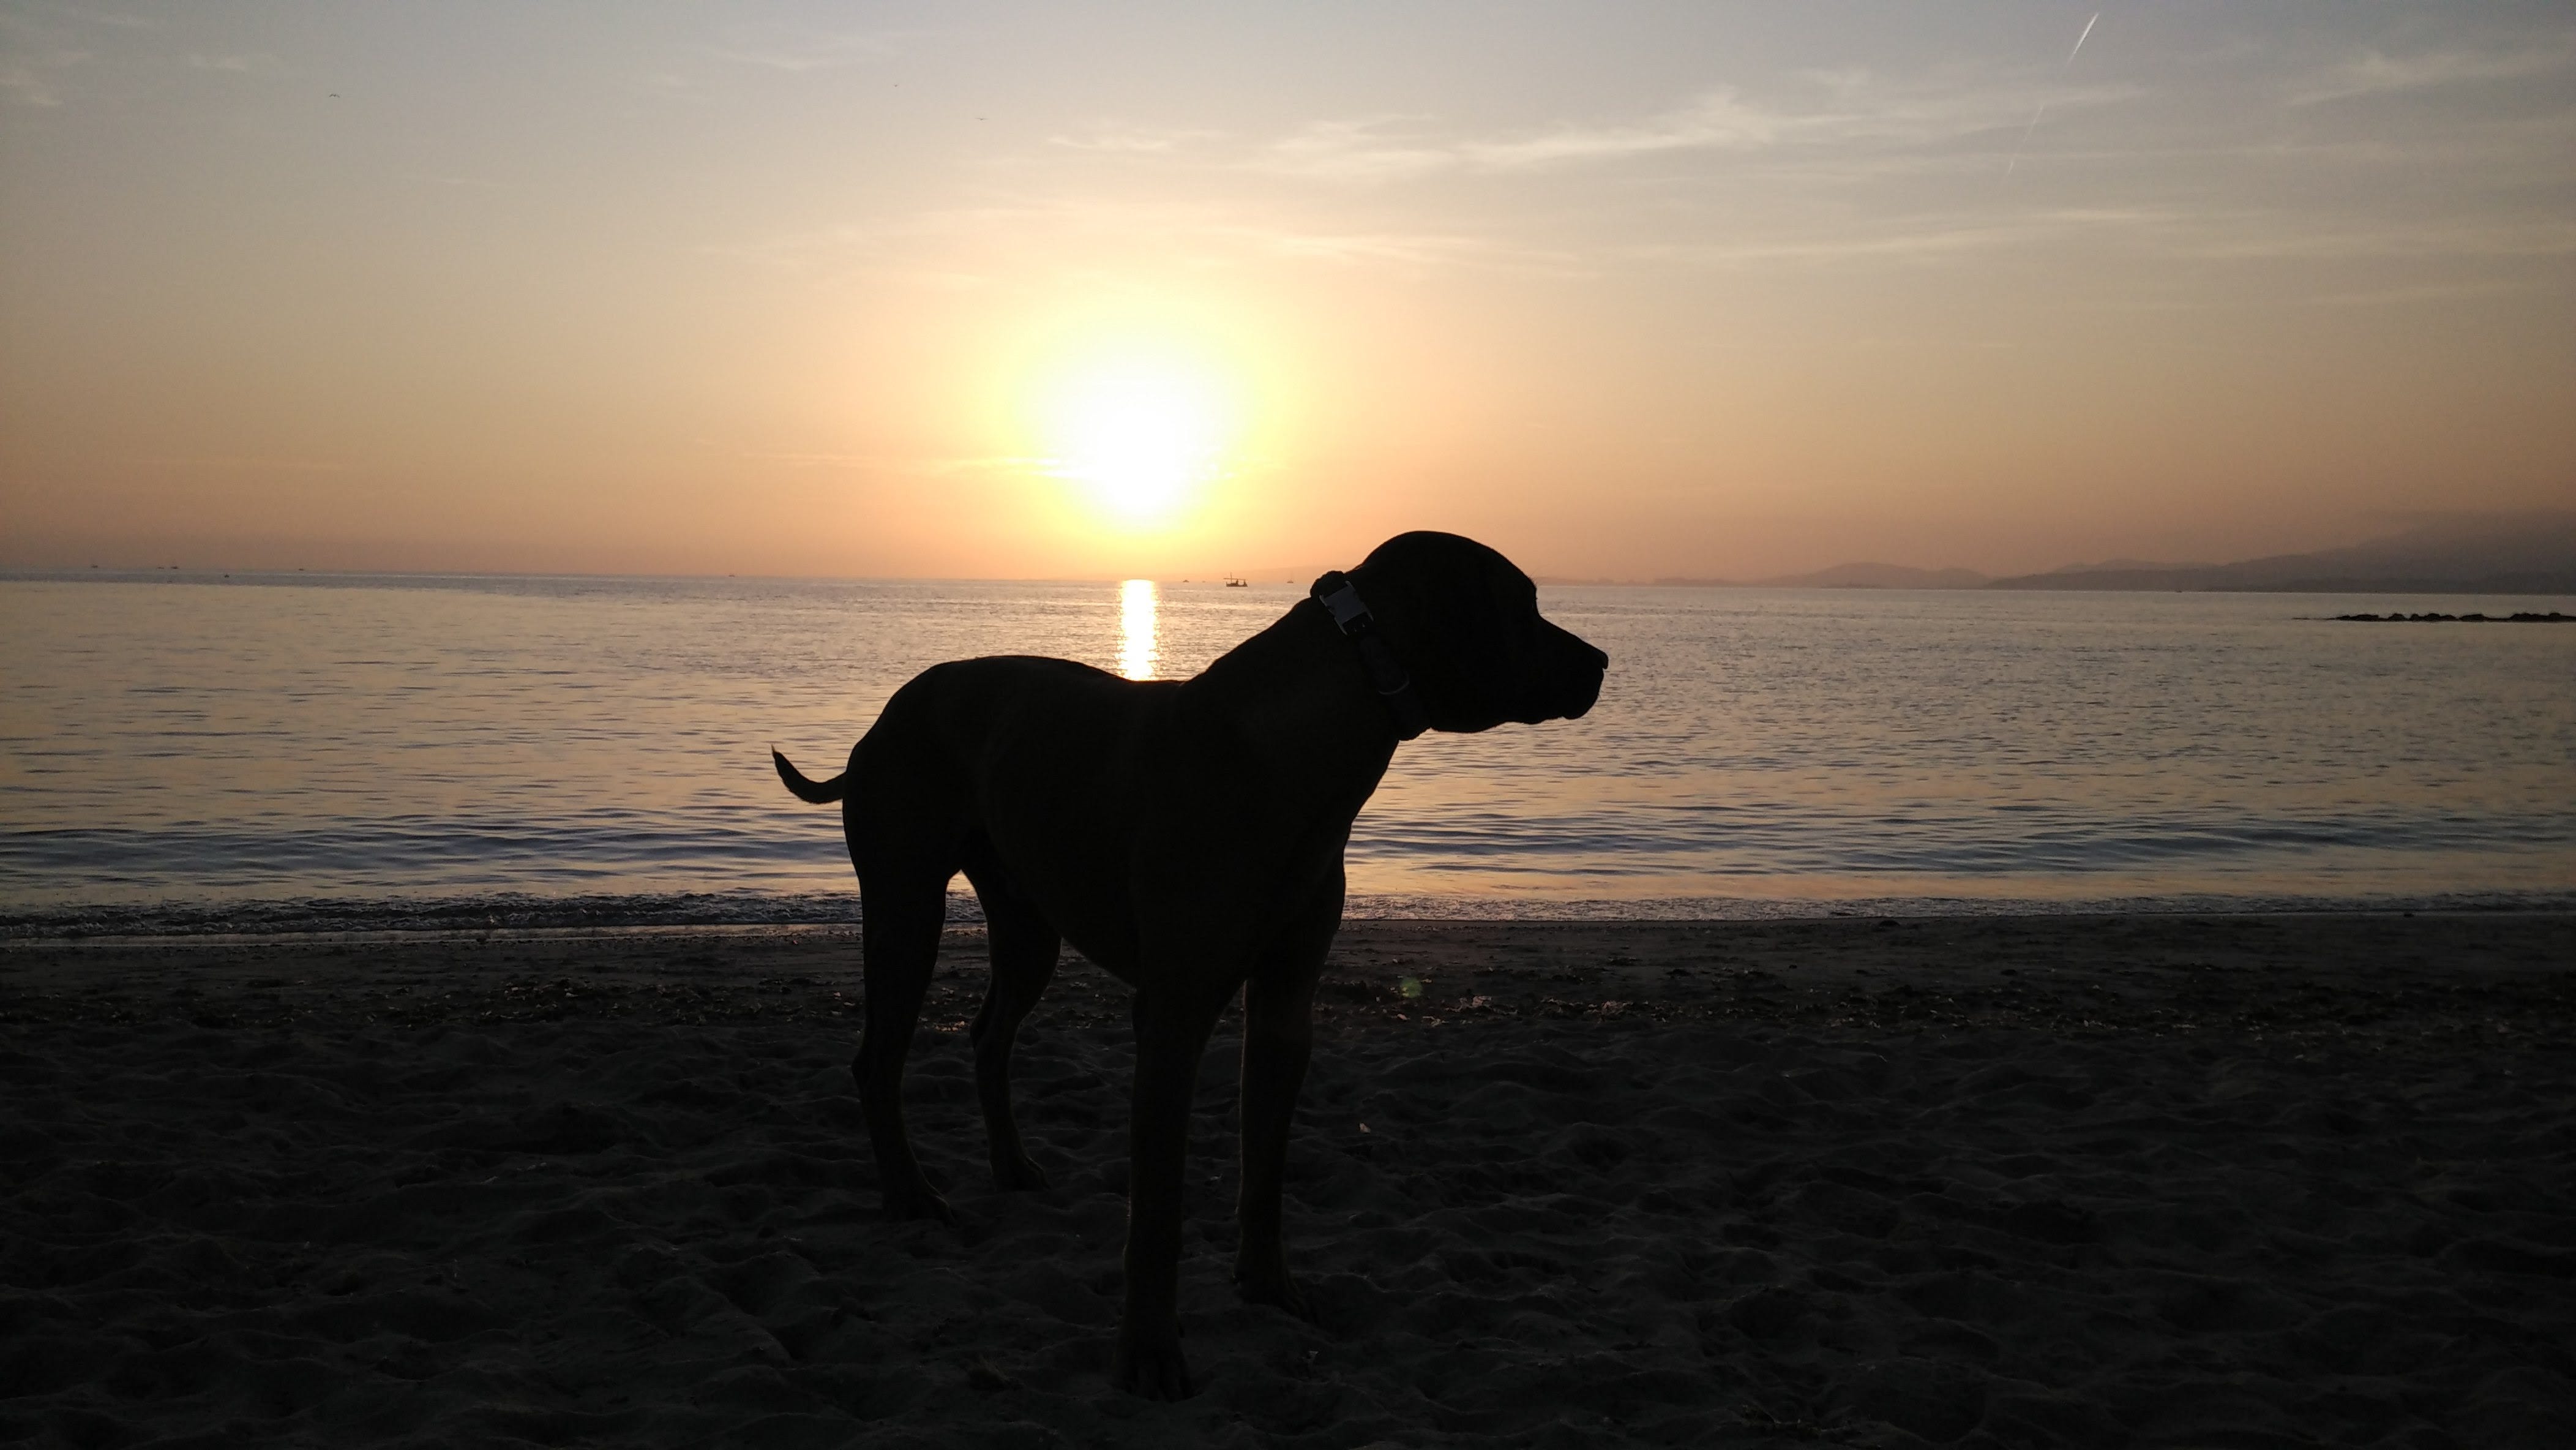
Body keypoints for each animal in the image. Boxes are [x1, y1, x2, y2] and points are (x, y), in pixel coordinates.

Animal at [771, 531, 1607, 1398]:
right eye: (1523, 604)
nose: (1603, 662)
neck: (1304, 737)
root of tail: (887, 713)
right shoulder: (1173, 1012)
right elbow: (1158, 1208)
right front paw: (1147, 1349)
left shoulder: (1284, 1005)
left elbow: (1264, 1169)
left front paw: (1270, 1285)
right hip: (906, 907)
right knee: (878, 1057)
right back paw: (908, 1191)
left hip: (1026, 919)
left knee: (989, 1035)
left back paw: (1010, 1162)